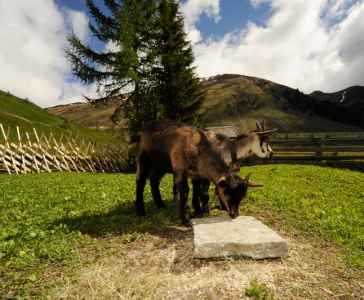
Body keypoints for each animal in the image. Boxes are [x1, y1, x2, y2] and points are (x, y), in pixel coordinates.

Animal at [129, 120, 258, 226]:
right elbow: (185, 191)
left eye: (242, 197)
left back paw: (160, 204)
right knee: (140, 181)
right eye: (226, 196)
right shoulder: (180, 170)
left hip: (161, 165)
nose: (234, 214)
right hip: (143, 160)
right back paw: (141, 211)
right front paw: (186, 218)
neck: (197, 146)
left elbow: (196, 190)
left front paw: (198, 211)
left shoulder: (196, 175)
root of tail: (141, 132)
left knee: (154, 179)